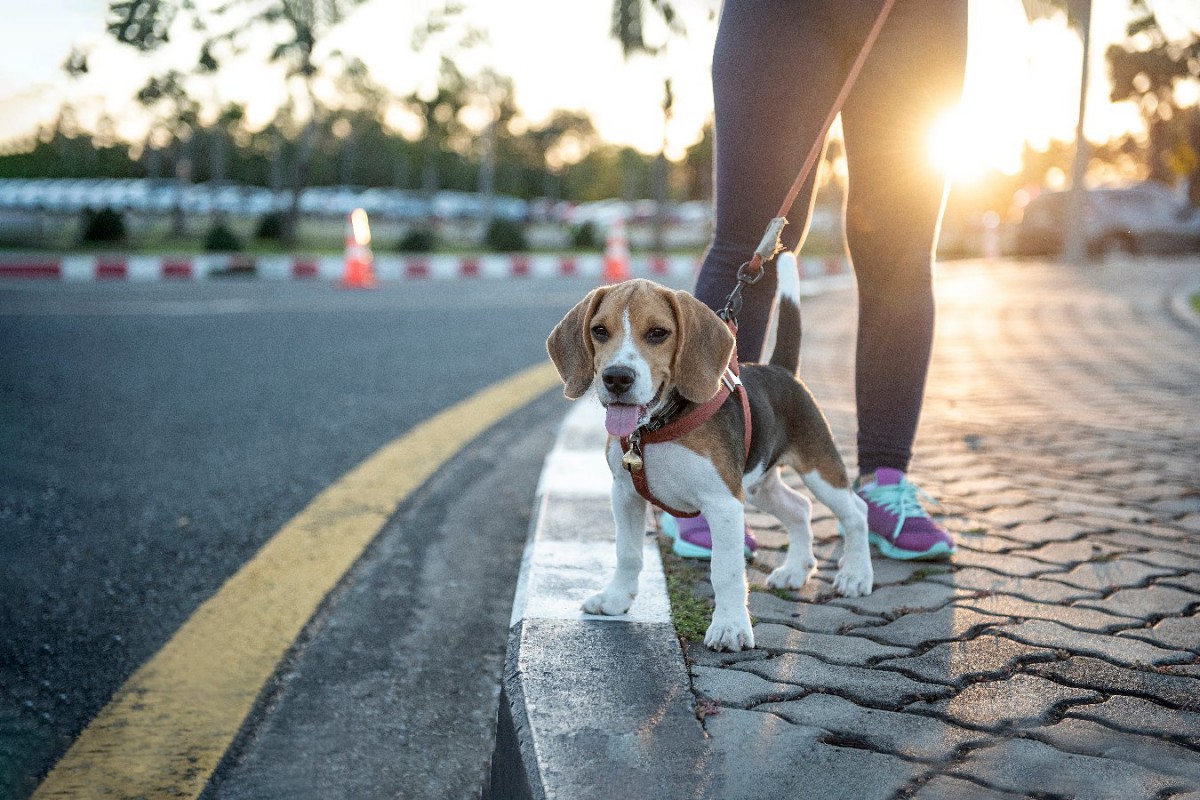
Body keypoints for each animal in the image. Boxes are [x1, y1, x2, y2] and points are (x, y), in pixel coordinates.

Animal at [547, 255, 873, 652]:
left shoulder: (724, 504)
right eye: (599, 331)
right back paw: (795, 570)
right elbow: (628, 553)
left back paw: (856, 575)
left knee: (855, 512)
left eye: (658, 333)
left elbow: (726, 572)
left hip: (818, 468)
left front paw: (730, 627)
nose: (617, 378)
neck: (656, 428)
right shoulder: (624, 494)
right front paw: (616, 599)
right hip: (758, 486)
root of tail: (781, 370)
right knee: (800, 508)